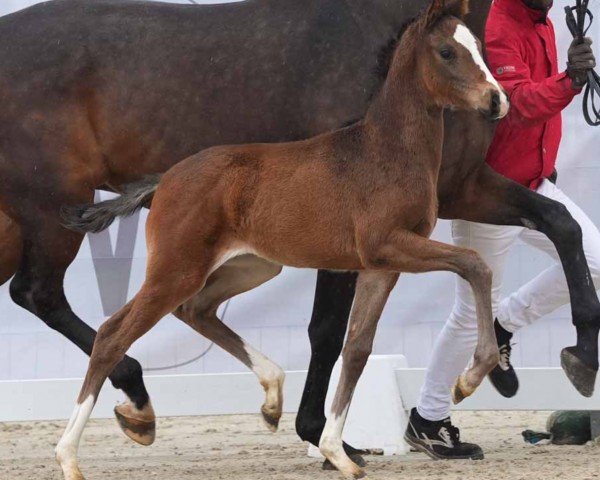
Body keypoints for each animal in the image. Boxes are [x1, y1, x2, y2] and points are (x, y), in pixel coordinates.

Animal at [0, 0, 596, 458]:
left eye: (478, 45)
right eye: (448, 52)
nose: (497, 101)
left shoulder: (435, 213)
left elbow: (560, 226)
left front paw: (572, 359)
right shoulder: (376, 239)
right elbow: (337, 329)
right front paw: (331, 438)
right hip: (89, 228)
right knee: (66, 307)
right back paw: (120, 418)